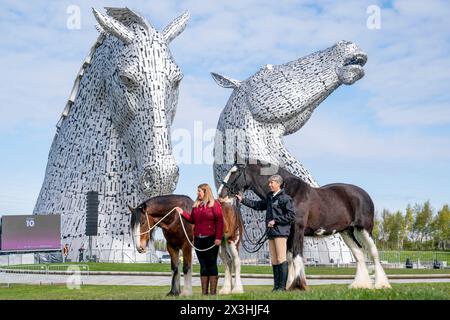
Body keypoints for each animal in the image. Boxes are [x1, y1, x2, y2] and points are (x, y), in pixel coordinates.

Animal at [218, 159, 390, 292]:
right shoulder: (288, 233)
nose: (221, 194)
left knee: (373, 253)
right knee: (359, 253)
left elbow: (297, 256)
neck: (290, 193)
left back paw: (381, 284)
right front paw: (288, 285)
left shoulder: (298, 229)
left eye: (234, 172)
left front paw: (299, 285)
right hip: (346, 231)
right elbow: (288, 257)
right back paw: (360, 285)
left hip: (364, 229)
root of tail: (363, 194)